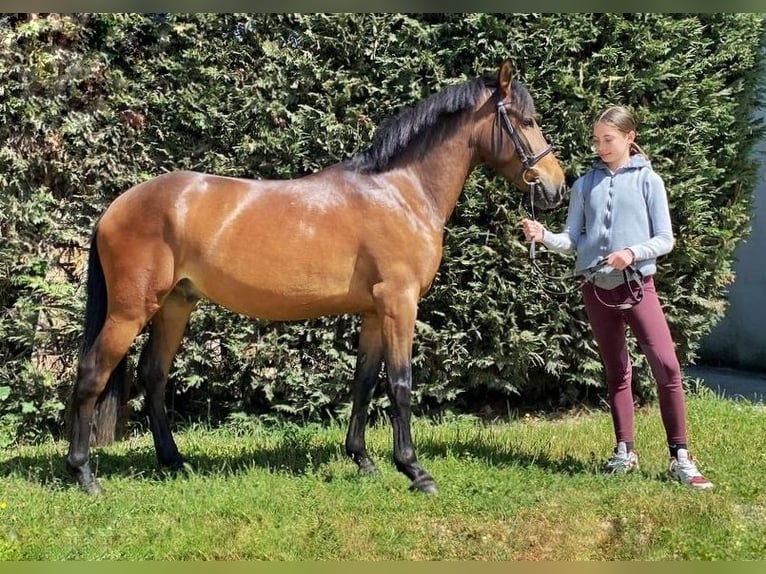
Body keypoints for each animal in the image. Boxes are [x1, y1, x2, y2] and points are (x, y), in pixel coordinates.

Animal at [66, 60, 568, 498]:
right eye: (526, 121)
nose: (556, 187)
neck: (400, 192)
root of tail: (115, 207)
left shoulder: (374, 310)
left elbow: (364, 383)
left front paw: (362, 460)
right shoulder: (399, 302)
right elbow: (400, 383)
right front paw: (414, 471)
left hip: (175, 304)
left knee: (153, 375)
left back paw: (173, 461)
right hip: (131, 310)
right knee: (92, 373)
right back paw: (85, 475)